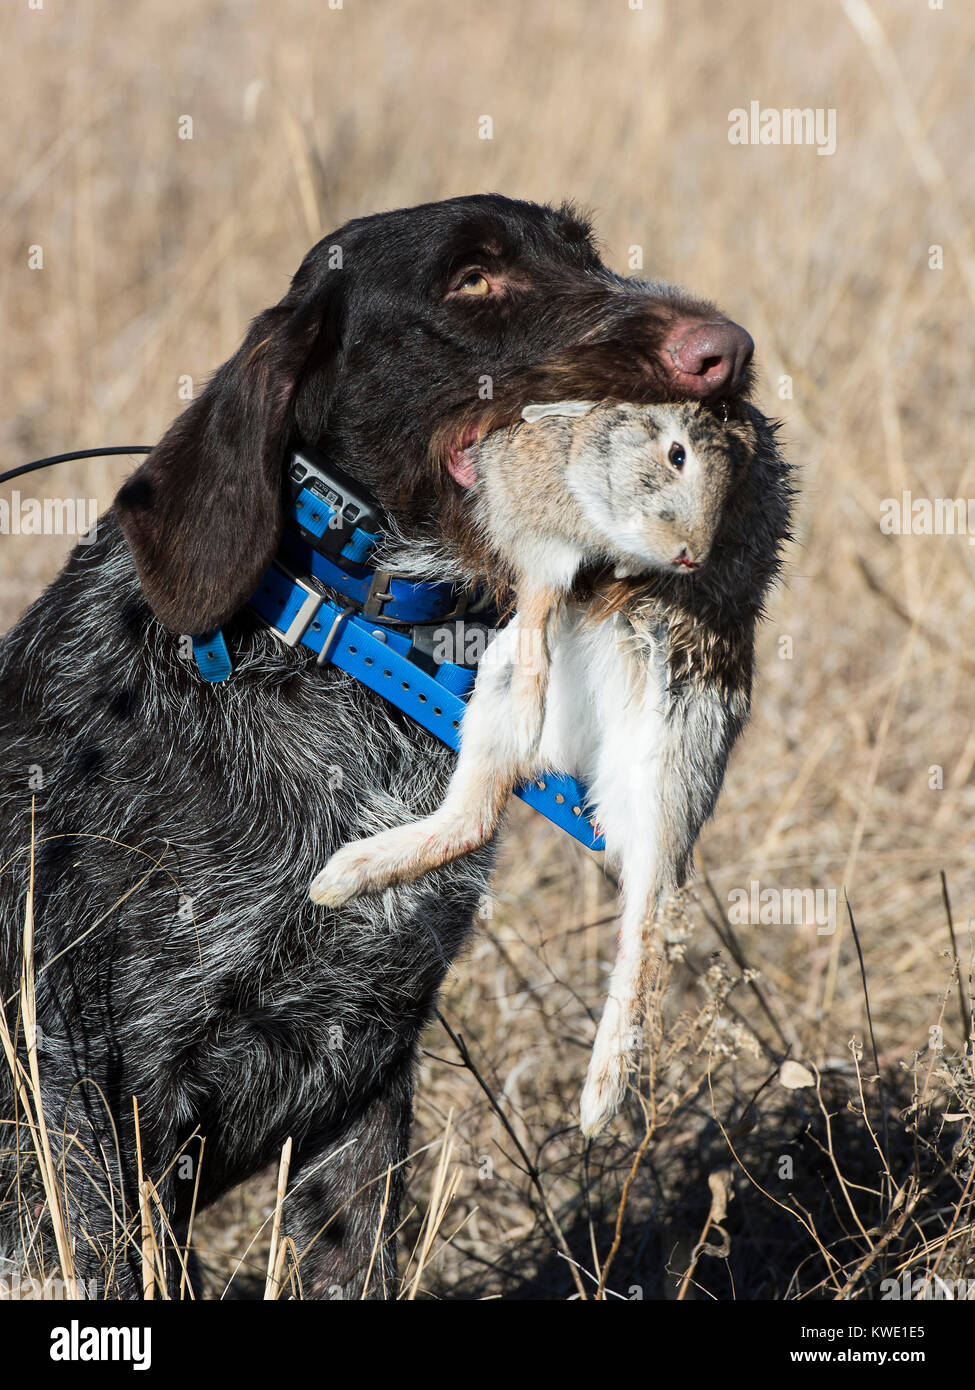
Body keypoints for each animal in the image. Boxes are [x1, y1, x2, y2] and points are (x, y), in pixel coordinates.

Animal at [0, 190, 762, 1295]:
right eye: (473, 280)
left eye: (586, 252)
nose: (726, 349)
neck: (345, 651)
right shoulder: (84, 1101)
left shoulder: (362, 1086)